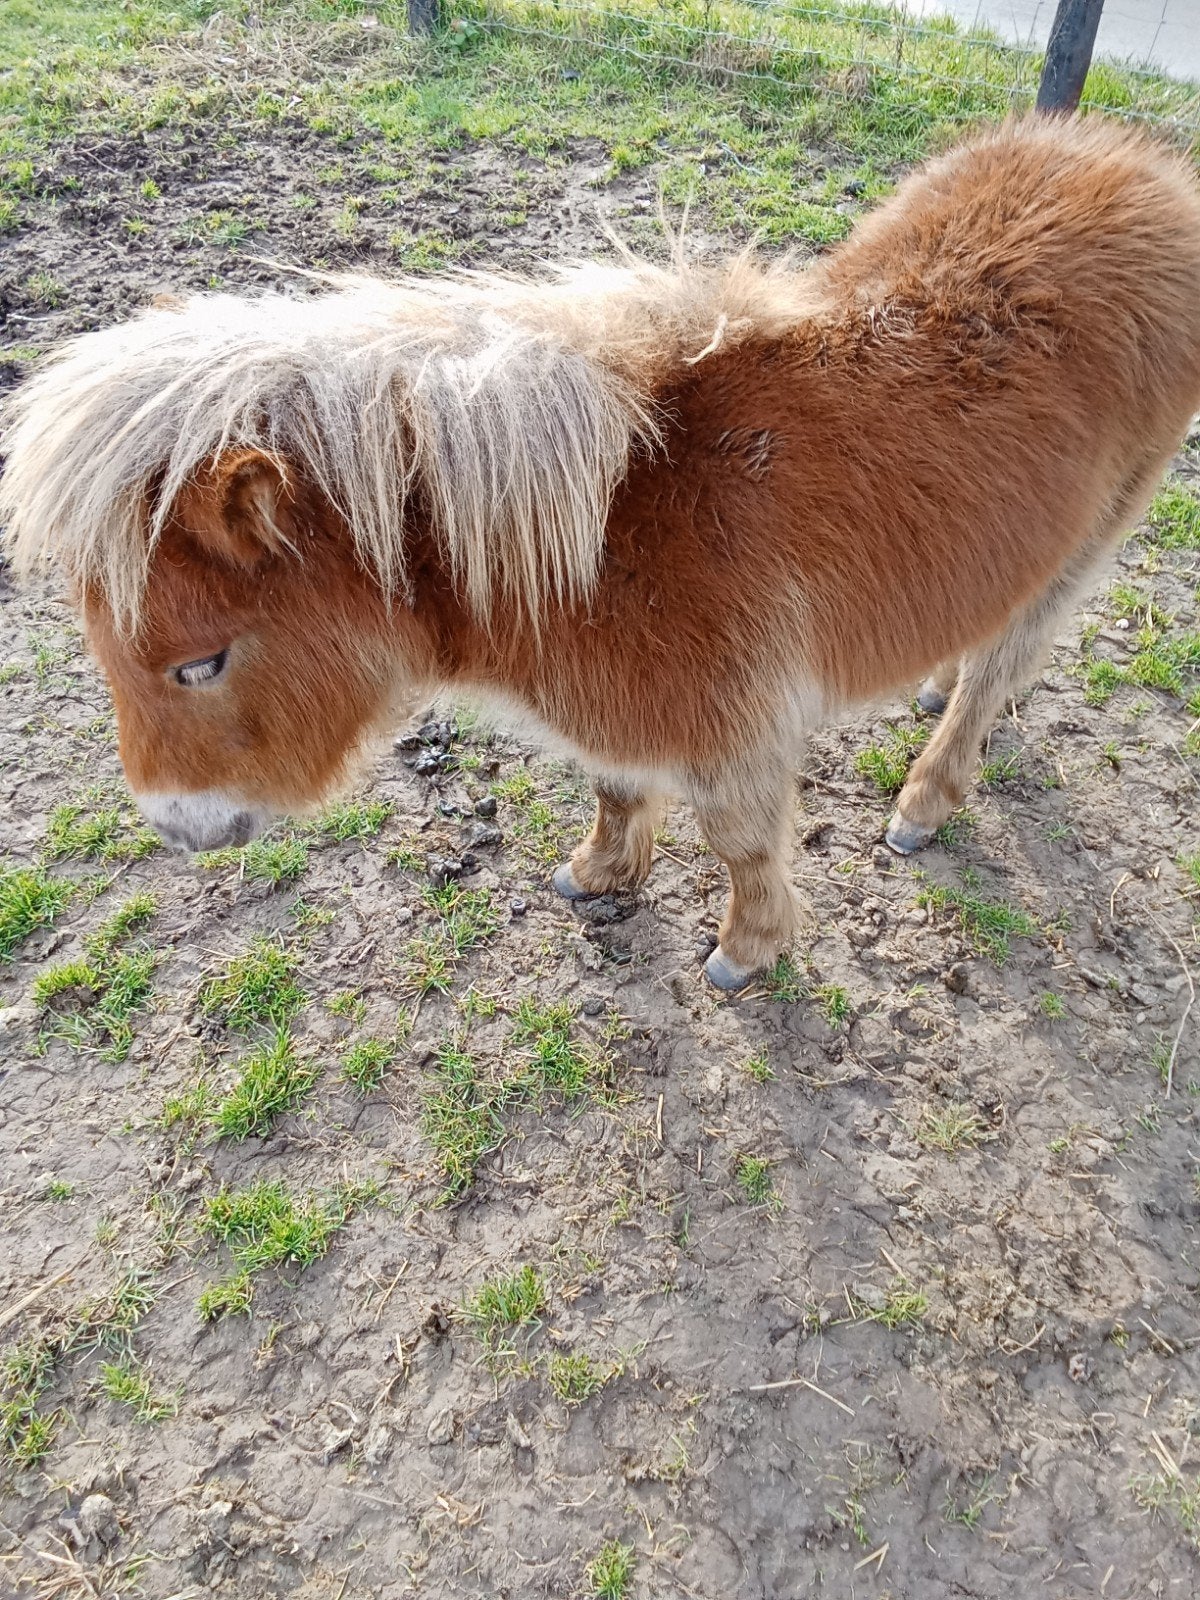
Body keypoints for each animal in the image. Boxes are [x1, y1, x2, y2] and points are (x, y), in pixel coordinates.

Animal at [4, 115, 1200, 990]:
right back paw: (933, 681)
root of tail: (1135, 164)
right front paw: (599, 875)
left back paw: (923, 802)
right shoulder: (630, 709)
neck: (610, 525)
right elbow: (617, 791)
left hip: (1092, 539)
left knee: (1007, 667)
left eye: (200, 663)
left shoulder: (733, 730)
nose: (175, 829)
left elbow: (739, 840)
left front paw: (746, 952)